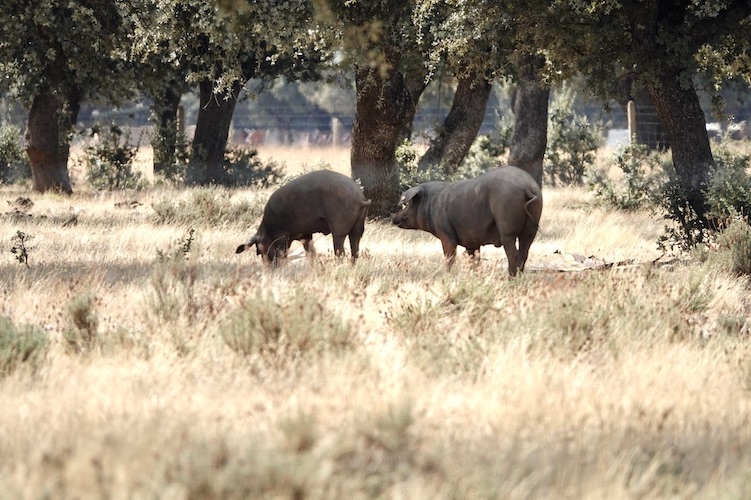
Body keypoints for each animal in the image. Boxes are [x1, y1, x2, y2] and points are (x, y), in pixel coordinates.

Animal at [236, 170, 371, 264]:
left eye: (259, 251)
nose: (268, 269)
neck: (268, 229)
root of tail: (359, 197)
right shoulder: (305, 234)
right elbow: (310, 252)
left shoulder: (281, 235)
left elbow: (282, 253)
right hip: (358, 227)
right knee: (355, 249)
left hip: (339, 226)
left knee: (340, 250)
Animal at [392, 166, 542, 276]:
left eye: (410, 203)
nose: (393, 216)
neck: (431, 204)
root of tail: (528, 187)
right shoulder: (472, 241)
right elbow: (474, 259)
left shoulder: (446, 234)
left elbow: (450, 256)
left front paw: (447, 275)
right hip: (532, 227)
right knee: (524, 251)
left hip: (507, 224)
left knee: (513, 253)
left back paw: (511, 278)